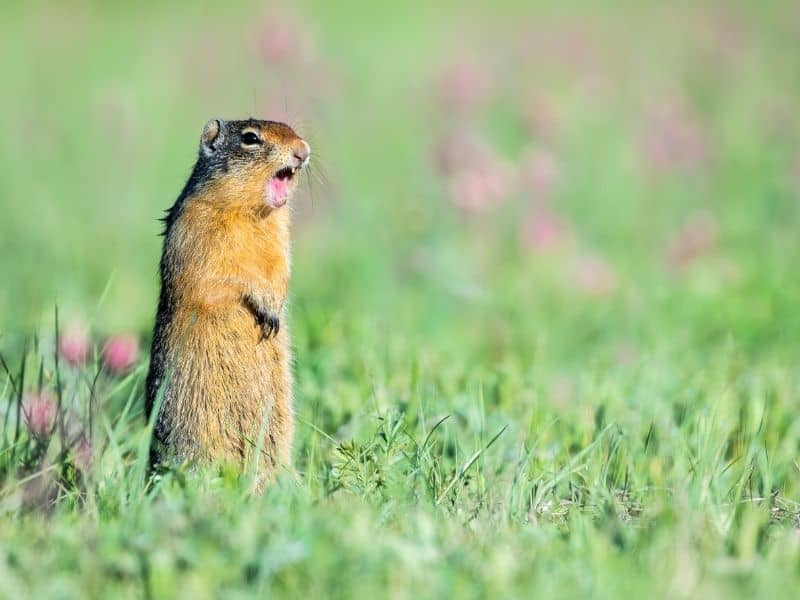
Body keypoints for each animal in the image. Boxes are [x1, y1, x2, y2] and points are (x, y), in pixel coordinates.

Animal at [144, 118, 310, 488]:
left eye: (293, 129)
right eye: (250, 138)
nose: (303, 150)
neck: (253, 214)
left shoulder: (281, 237)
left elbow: (281, 269)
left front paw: (275, 307)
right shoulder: (197, 225)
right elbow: (217, 275)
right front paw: (263, 304)